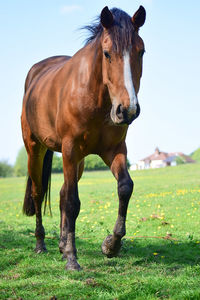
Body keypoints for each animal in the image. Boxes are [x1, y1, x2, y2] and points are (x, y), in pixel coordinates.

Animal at [20, 5, 145, 270]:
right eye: (107, 53)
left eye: (141, 51)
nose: (127, 110)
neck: (95, 97)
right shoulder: (70, 149)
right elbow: (72, 202)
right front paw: (72, 258)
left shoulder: (114, 150)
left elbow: (125, 187)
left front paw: (111, 245)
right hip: (36, 150)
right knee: (39, 193)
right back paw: (41, 244)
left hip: (78, 162)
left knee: (61, 193)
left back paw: (60, 245)